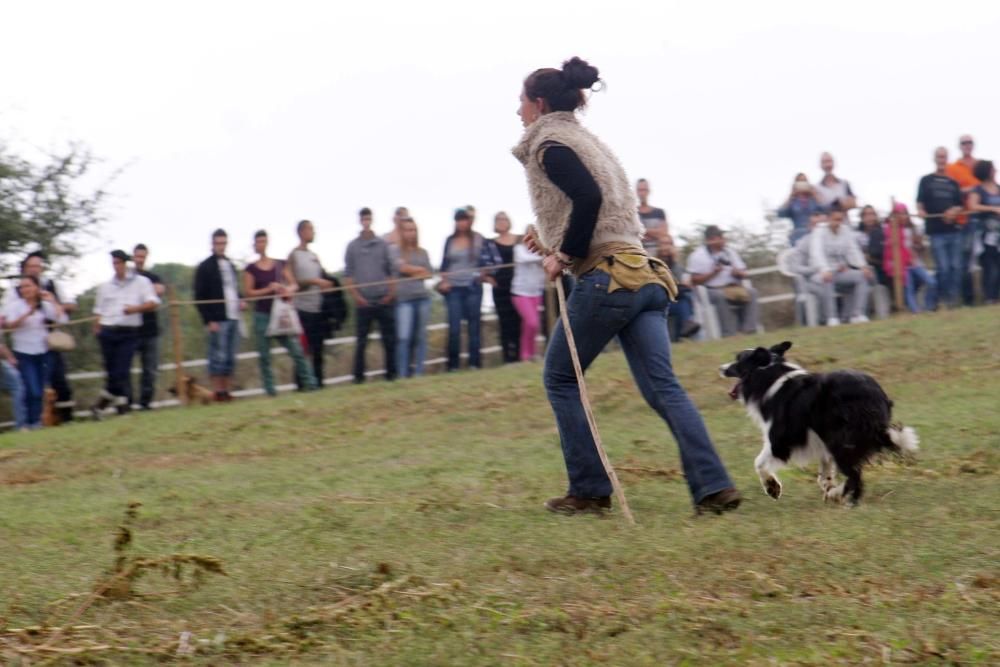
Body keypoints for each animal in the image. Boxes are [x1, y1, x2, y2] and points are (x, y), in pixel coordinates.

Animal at [720, 344, 920, 506]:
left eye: (738, 359)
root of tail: (874, 397)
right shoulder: (819, 440)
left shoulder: (781, 440)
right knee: (853, 473)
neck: (770, 374)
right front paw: (829, 488)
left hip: (841, 440)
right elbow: (824, 472)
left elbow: (759, 462)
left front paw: (772, 488)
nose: (721, 368)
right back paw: (837, 494)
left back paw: (849, 502)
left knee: (855, 474)